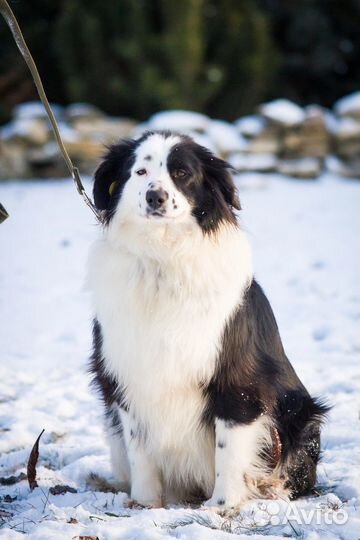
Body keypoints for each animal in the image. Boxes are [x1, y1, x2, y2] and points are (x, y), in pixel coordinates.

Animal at [88, 129, 330, 508]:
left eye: (182, 173)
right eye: (140, 172)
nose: (156, 197)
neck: (164, 259)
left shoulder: (238, 379)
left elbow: (228, 449)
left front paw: (223, 505)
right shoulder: (126, 374)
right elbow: (140, 450)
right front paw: (144, 504)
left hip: (299, 413)